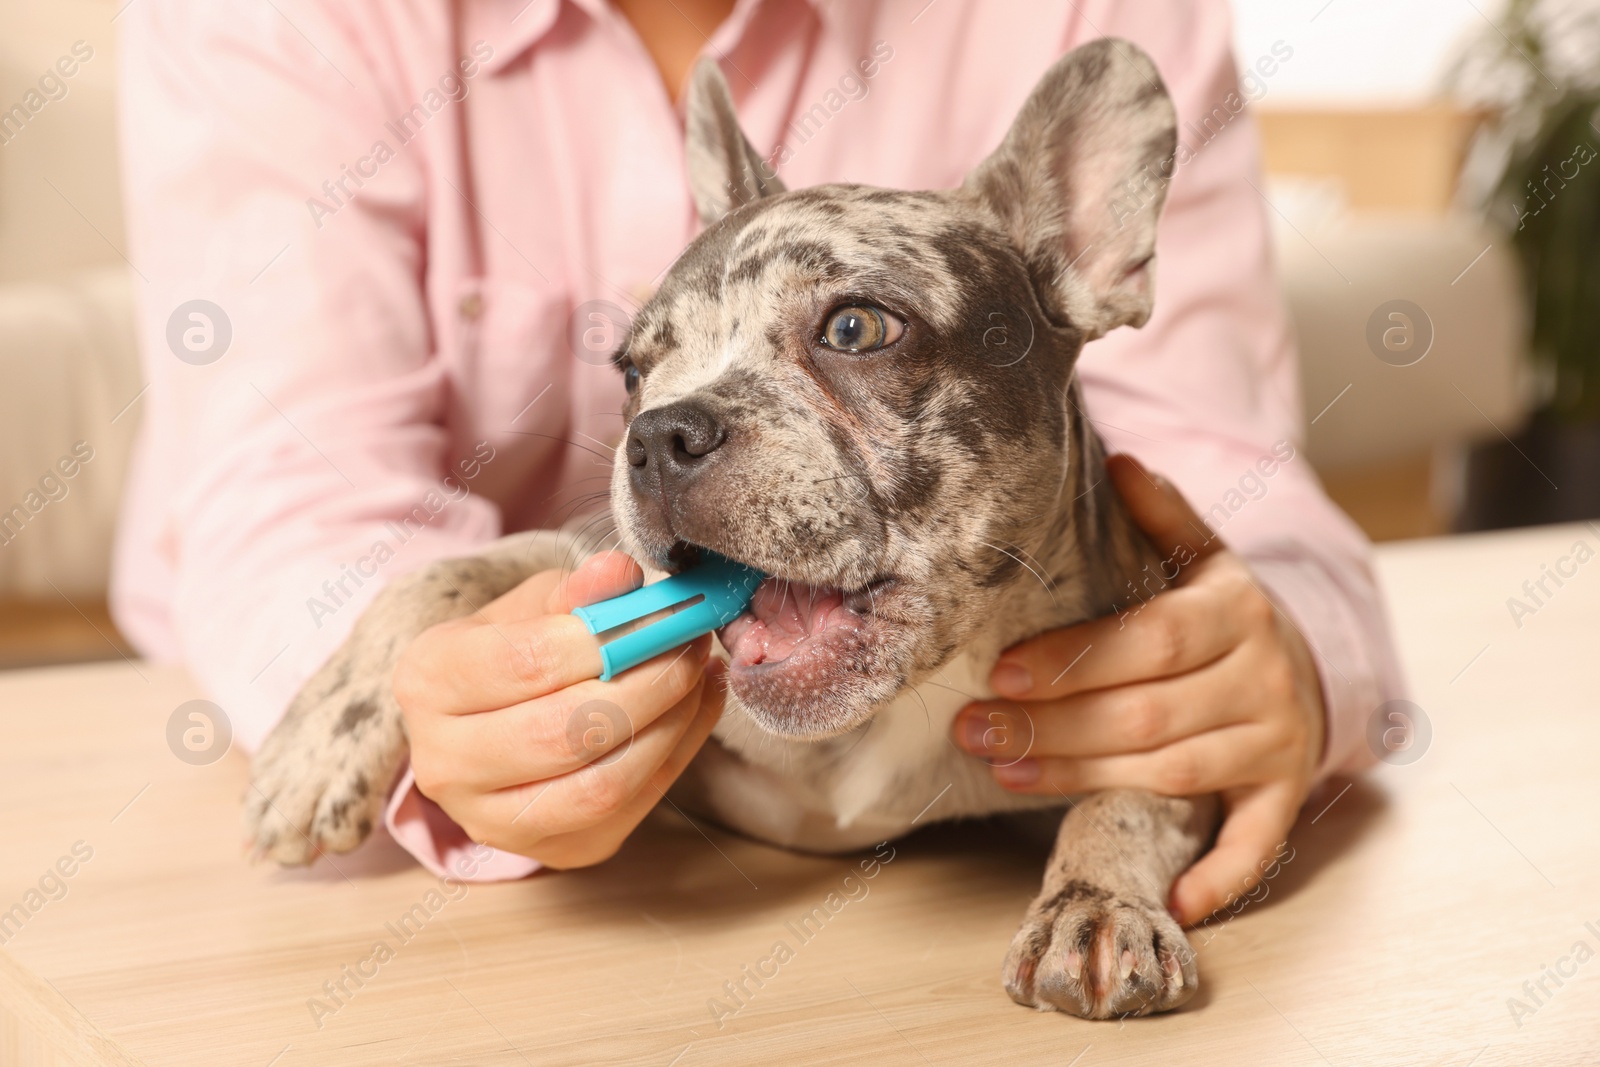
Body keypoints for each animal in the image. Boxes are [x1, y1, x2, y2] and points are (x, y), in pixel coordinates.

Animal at [246, 41, 1222, 1023]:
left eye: (856, 327)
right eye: (630, 371)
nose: (658, 435)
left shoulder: (1144, 702)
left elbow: (1138, 790)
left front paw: (1097, 901)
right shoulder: (585, 554)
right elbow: (446, 571)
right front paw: (321, 736)